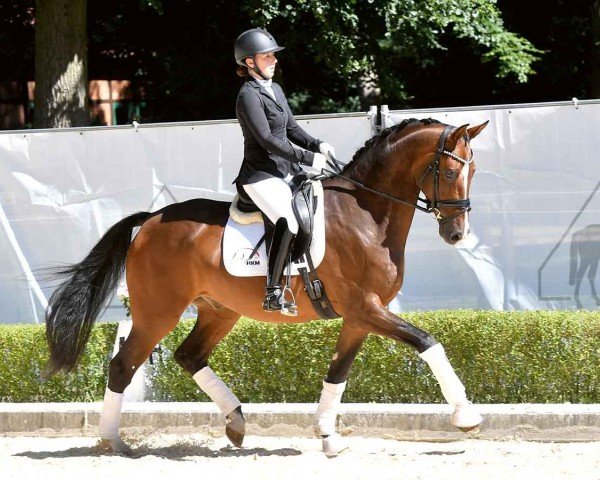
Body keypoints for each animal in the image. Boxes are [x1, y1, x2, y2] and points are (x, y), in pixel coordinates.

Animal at [47, 116, 488, 454]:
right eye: (450, 172)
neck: (366, 213)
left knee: (189, 356)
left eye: (474, 172)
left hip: (219, 310)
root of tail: (150, 219)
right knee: (123, 364)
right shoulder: (366, 307)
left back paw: (236, 423)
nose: (457, 234)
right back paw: (113, 441)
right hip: (159, 312)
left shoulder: (360, 316)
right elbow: (428, 342)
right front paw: (466, 415)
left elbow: (337, 373)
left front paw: (327, 437)